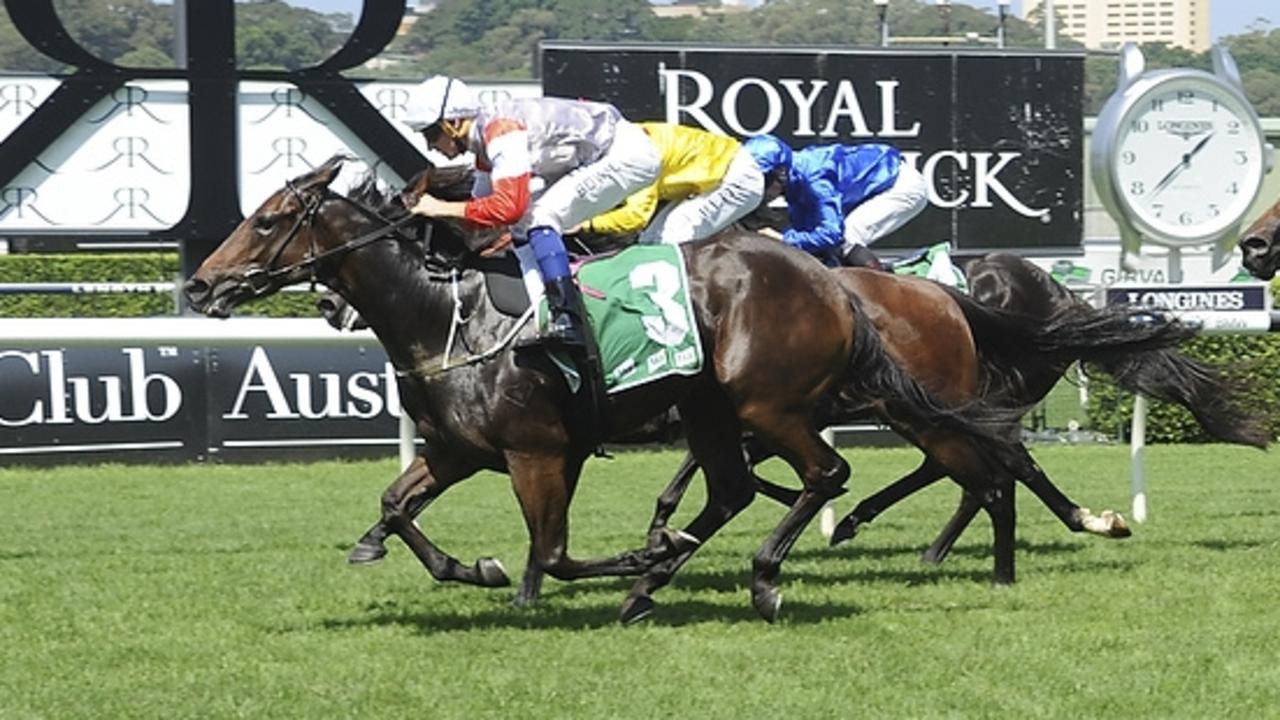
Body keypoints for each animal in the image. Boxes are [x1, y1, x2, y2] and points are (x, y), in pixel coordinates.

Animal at [185, 159, 1034, 620]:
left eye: (269, 221)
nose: (199, 285)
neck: (446, 314)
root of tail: (834, 287)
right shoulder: (458, 449)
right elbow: (396, 506)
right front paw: (470, 567)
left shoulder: (540, 452)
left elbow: (554, 553)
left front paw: (596, 566)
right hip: (717, 410)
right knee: (740, 488)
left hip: (774, 404)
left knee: (847, 473)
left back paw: (762, 576)